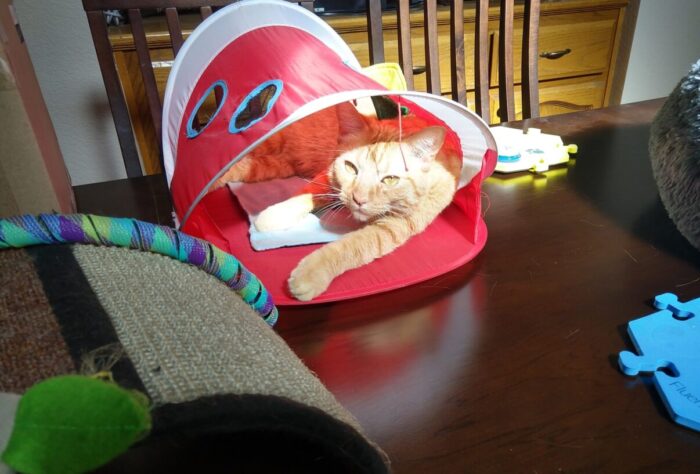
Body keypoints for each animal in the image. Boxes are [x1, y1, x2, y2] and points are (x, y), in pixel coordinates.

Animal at [213, 102, 464, 300]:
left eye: (390, 179)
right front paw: (274, 216)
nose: (358, 199)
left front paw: (311, 274)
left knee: (241, 167)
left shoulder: (397, 225)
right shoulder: (329, 173)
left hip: (271, 166)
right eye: (351, 167)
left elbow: (356, 245)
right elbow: (308, 192)